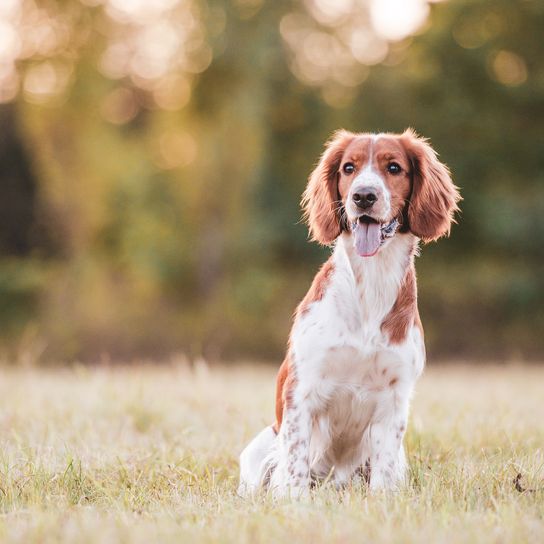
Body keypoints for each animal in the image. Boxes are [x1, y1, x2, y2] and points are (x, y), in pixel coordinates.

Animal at [238, 127, 460, 498]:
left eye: (394, 167)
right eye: (348, 168)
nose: (363, 196)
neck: (370, 285)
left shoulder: (394, 397)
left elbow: (383, 472)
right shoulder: (303, 389)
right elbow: (295, 465)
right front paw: (295, 502)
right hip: (259, 450)